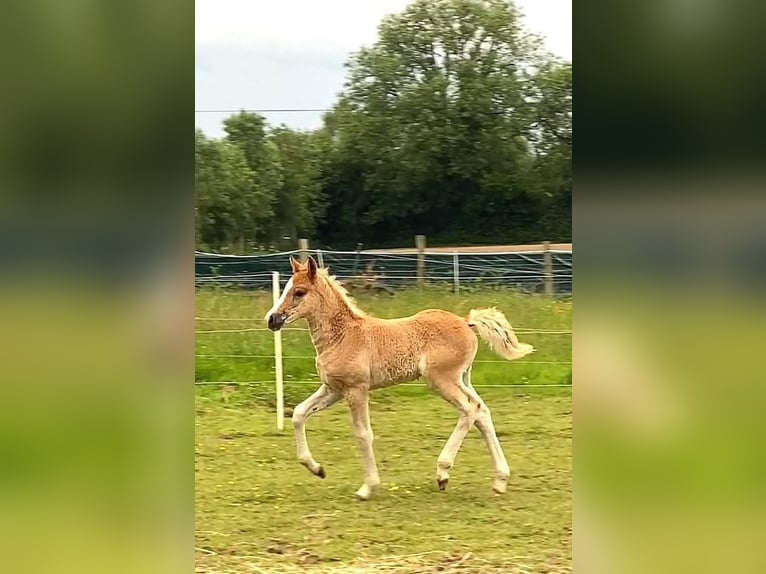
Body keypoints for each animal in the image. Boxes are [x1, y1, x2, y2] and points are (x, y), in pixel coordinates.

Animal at [264, 256, 536, 500]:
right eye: (285, 288)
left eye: (299, 292)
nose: (272, 319)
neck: (344, 336)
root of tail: (465, 321)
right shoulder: (334, 389)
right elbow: (299, 413)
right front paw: (317, 469)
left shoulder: (356, 389)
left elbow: (363, 434)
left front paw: (368, 488)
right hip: (462, 378)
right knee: (482, 411)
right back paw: (500, 481)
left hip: (442, 379)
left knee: (469, 410)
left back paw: (443, 473)